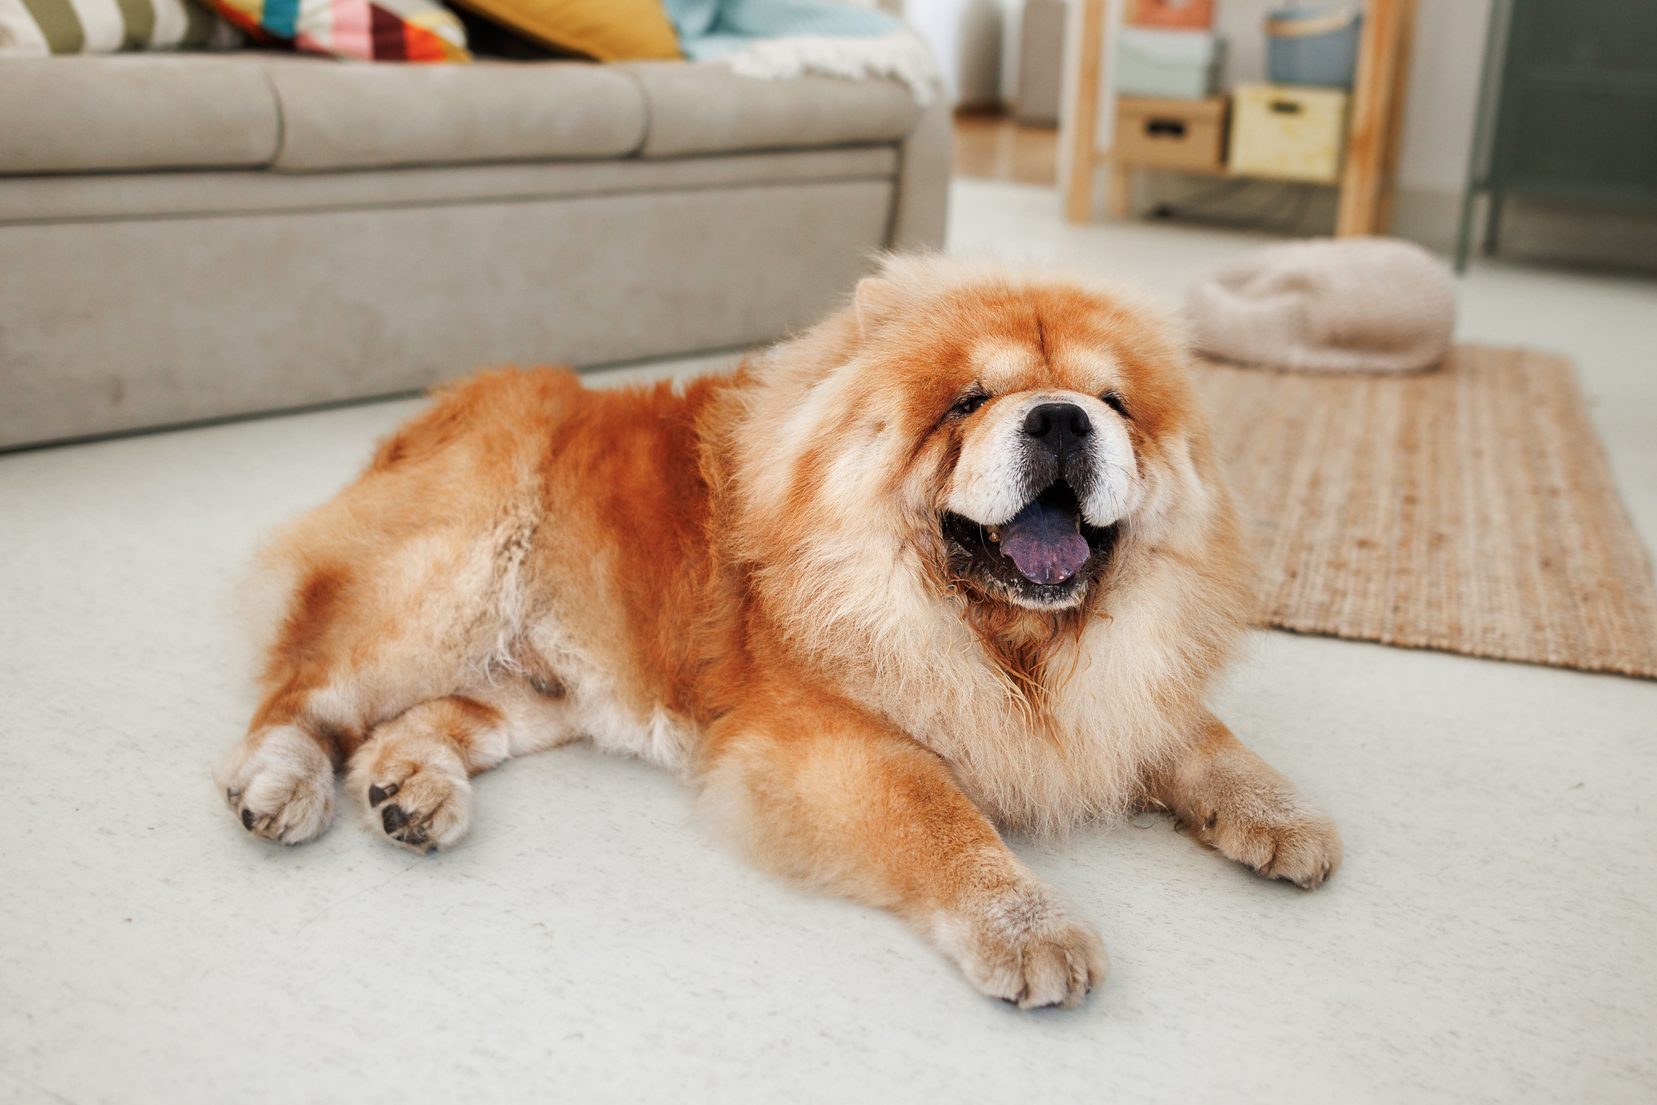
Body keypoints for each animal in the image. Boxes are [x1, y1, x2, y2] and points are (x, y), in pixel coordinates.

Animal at [220, 256, 1338, 1013]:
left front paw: (1283, 818)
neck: (1012, 644)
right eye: (968, 401)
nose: (1061, 417)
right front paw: (1033, 929)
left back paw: (408, 791)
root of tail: (431, 415)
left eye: (1114, 403)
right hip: (440, 584)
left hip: (546, 687)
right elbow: (943, 818)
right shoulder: (829, 738)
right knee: (305, 689)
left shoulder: (1125, 686)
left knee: (419, 719)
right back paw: (282, 785)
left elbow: (1203, 738)